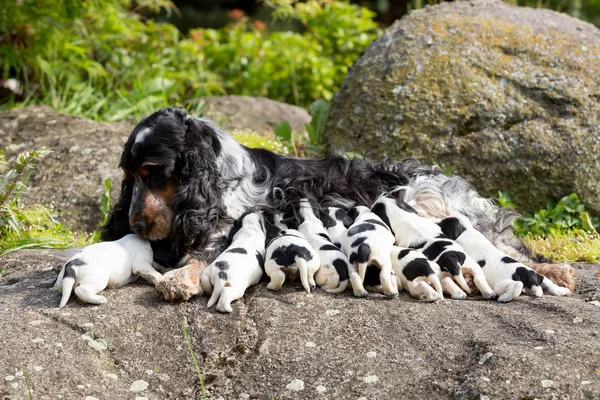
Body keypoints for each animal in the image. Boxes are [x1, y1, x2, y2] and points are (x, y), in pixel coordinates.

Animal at [436, 214, 572, 302]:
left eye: (443, 224)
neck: (466, 230)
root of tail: (529, 275)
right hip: (541, 278)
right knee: (550, 285)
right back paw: (563, 290)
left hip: (501, 285)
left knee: (517, 286)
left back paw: (503, 298)